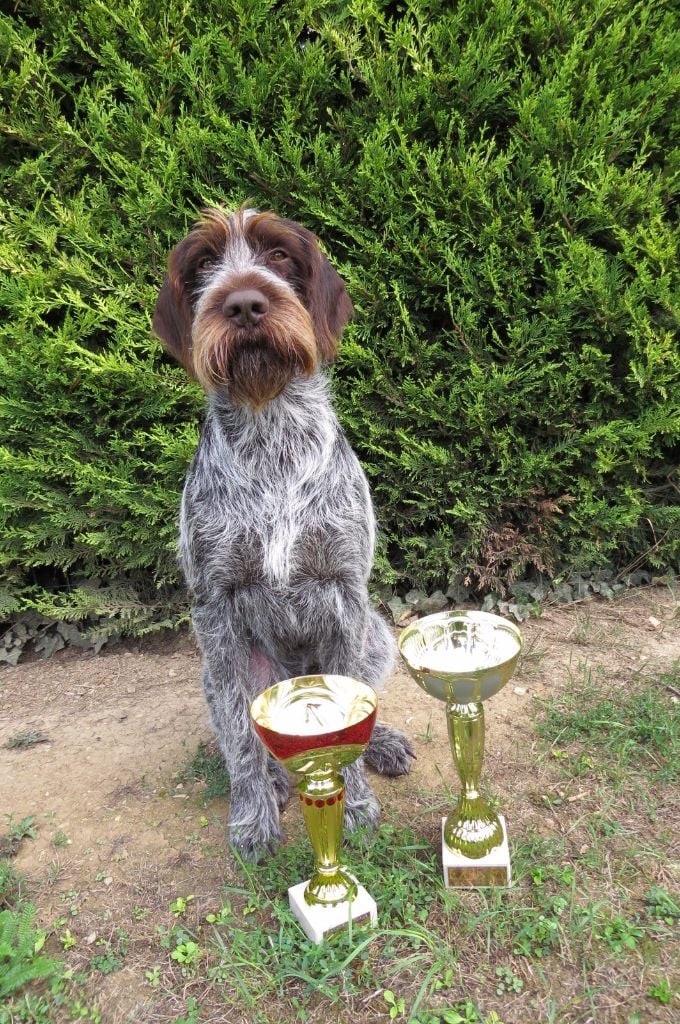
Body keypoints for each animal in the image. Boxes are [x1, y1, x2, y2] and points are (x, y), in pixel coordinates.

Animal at [152, 203, 413, 860]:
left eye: (278, 255)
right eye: (204, 264)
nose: (244, 304)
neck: (272, 438)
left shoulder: (345, 592)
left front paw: (356, 806)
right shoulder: (216, 608)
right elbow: (240, 739)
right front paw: (252, 820)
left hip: (378, 634)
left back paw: (382, 744)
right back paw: (271, 784)